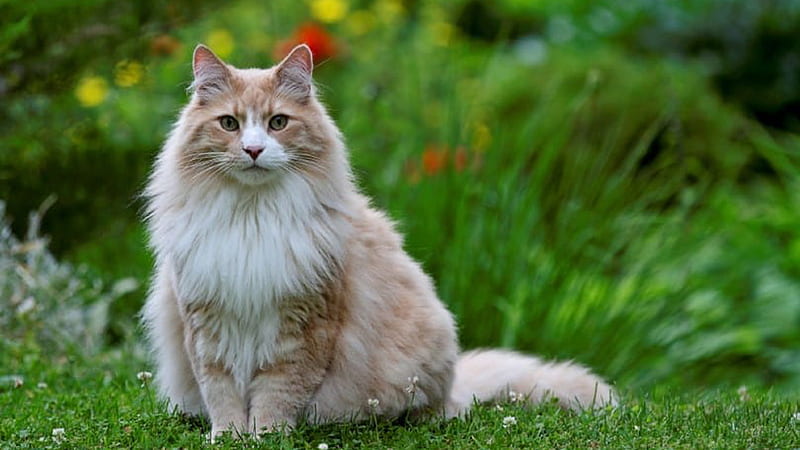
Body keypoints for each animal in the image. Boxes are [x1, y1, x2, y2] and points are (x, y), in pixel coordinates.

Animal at [142, 43, 620, 440]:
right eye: (229, 124)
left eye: (277, 123)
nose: (254, 150)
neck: (251, 216)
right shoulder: (206, 324)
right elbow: (221, 393)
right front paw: (229, 436)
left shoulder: (303, 327)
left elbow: (277, 393)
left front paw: (265, 436)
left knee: (441, 410)